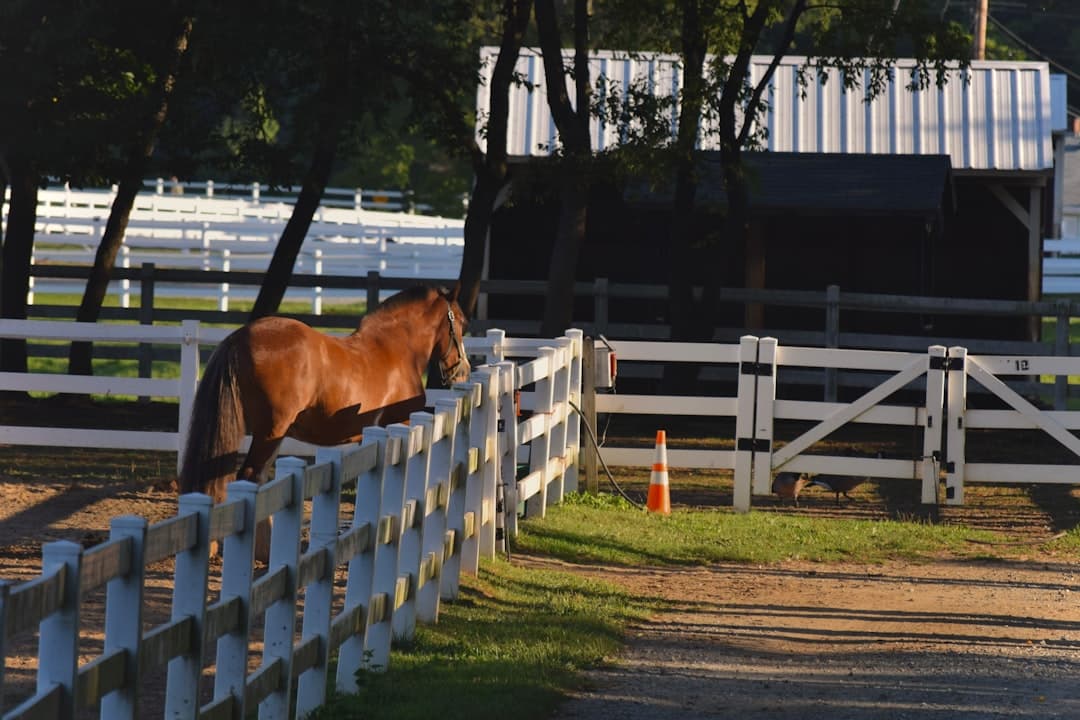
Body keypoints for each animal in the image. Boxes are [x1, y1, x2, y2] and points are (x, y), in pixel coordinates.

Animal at [179, 282, 470, 507]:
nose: (463, 370)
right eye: (461, 323)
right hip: (269, 433)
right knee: (249, 476)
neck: (397, 349)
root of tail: (238, 338)